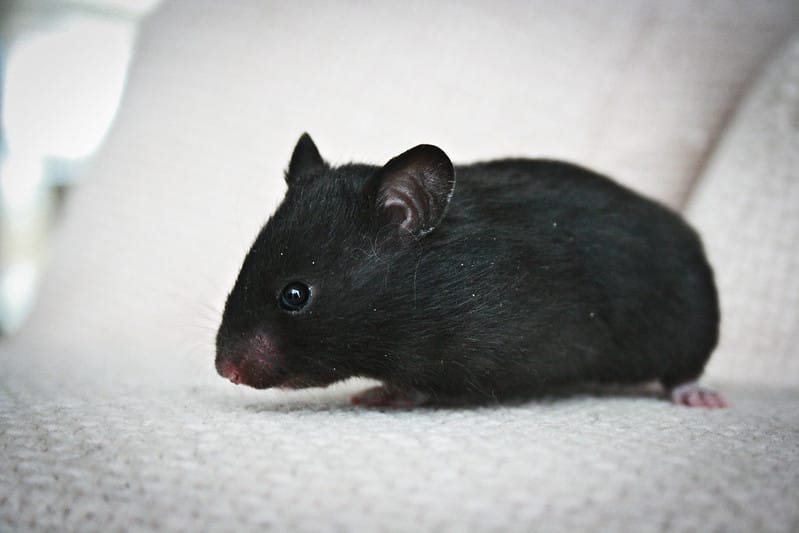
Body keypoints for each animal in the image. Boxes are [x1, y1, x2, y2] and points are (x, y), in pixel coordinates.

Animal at [215, 134, 726, 408]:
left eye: (295, 295)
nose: (225, 371)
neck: (426, 285)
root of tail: (690, 234)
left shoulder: (469, 361)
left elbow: (420, 387)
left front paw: (378, 394)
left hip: (686, 325)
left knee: (685, 370)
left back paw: (701, 398)